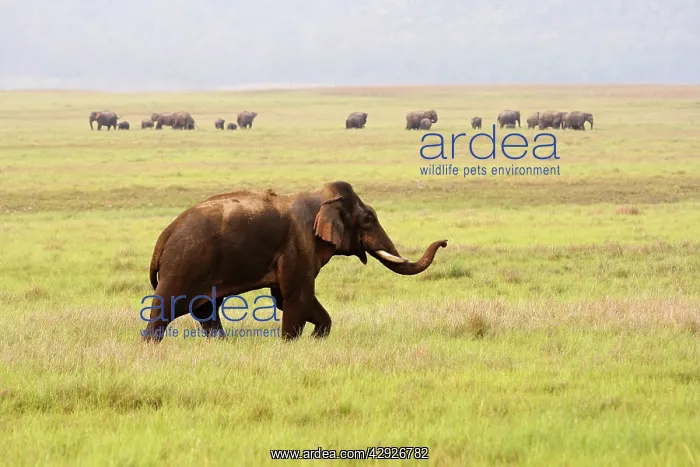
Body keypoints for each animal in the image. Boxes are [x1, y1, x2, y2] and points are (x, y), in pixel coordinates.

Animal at [141, 181, 448, 342]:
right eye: (368, 219)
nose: (444, 242)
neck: (320, 197)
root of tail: (164, 235)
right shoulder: (298, 245)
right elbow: (296, 296)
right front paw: (291, 342)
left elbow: (290, 298)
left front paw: (317, 337)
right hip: (185, 263)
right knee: (165, 307)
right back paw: (151, 346)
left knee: (205, 310)